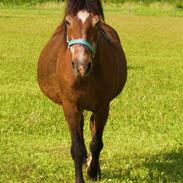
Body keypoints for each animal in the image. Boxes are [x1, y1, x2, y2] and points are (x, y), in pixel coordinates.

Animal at [37, 0, 126, 182]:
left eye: (97, 23)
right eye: (68, 22)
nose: (81, 65)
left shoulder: (103, 107)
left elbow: (96, 143)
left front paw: (93, 171)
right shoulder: (70, 107)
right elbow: (77, 148)